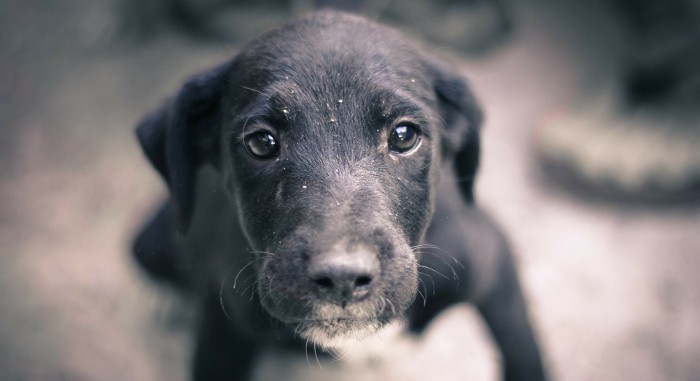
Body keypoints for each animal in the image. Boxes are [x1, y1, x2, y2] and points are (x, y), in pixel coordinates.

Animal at [131, 11, 548, 380]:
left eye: (404, 136)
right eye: (262, 142)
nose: (342, 277)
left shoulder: (494, 264)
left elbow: (523, 353)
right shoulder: (224, 332)